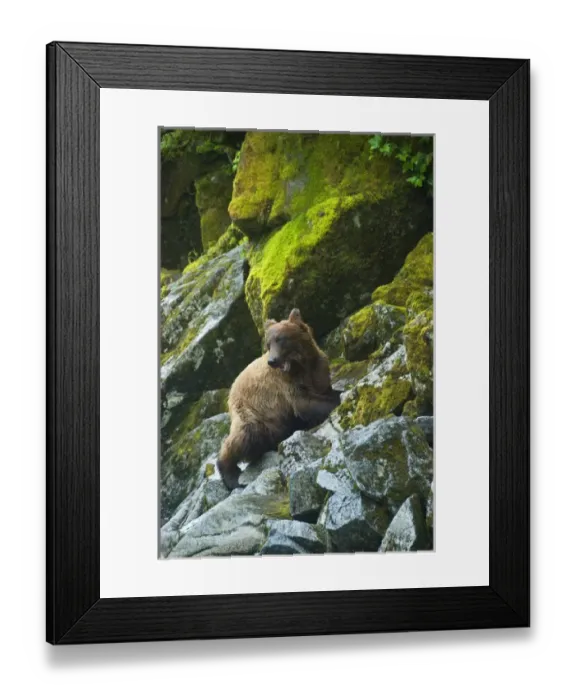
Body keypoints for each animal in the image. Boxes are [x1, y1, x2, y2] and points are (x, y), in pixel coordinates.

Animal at [216, 308, 341, 490]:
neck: (301, 366)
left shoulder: (318, 371)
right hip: (253, 412)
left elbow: (324, 390)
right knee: (244, 436)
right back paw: (231, 476)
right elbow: (305, 404)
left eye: (281, 339)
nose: (272, 361)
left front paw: (337, 393)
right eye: (268, 344)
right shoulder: (286, 386)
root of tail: (231, 389)